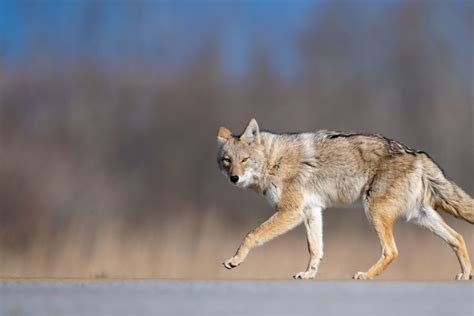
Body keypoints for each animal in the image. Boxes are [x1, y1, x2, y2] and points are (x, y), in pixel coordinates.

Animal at [217, 118, 472, 278]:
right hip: (418, 216)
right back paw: (466, 274)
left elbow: (251, 235)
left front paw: (235, 260)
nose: (234, 178)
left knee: (392, 251)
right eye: (227, 160)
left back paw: (365, 276)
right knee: (457, 238)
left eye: (245, 160)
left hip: (375, 212)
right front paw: (309, 274)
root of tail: (418, 154)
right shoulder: (311, 211)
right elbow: (315, 249)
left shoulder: (291, 211)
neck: (273, 161)